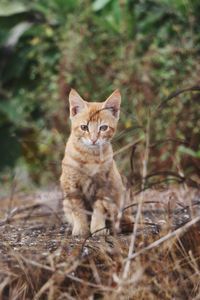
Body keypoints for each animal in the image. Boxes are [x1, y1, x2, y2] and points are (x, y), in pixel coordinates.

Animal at [60, 89, 130, 237]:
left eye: (103, 128)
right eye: (84, 127)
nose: (93, 140)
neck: (90, 157)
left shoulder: (103, 184)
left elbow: (99, 208)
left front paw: (98, 228)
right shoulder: (71, 184)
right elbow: (78, 209)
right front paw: (81, 229)